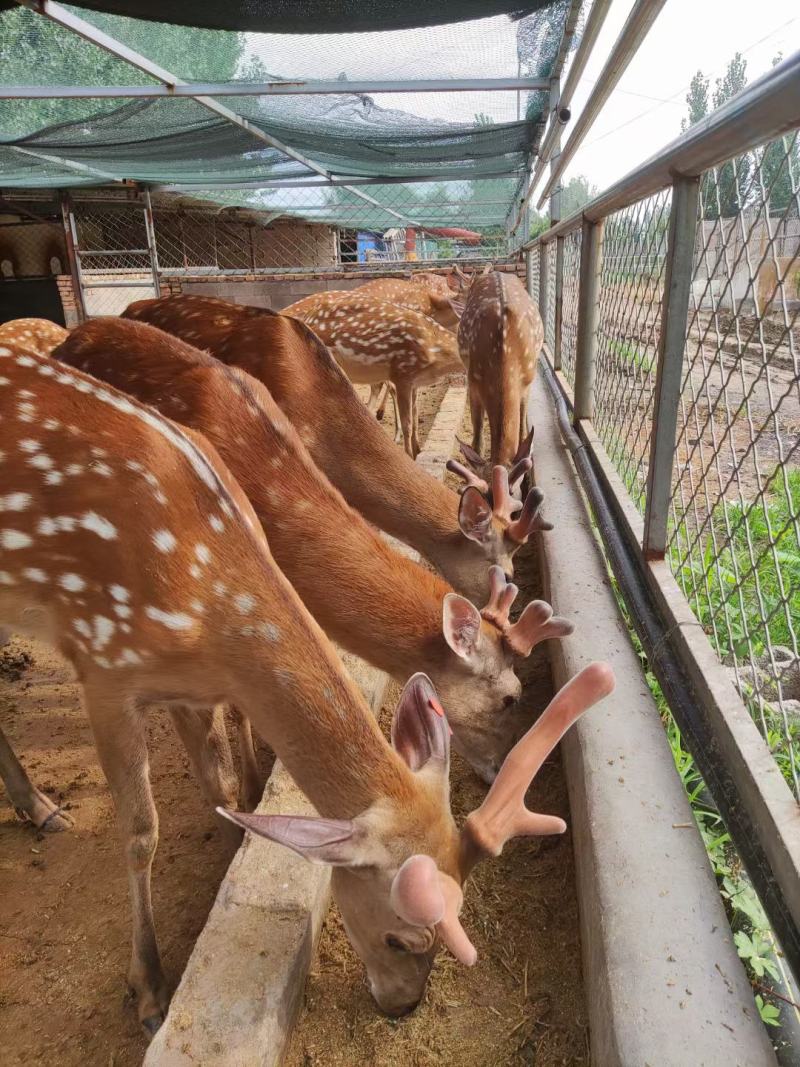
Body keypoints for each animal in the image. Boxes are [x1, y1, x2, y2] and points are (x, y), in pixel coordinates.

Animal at [282, 291, 463, 458]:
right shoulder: (402, 373)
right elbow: (408, 423)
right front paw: (410, 456)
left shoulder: (415, 381)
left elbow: (415, 413)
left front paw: (418, 450)